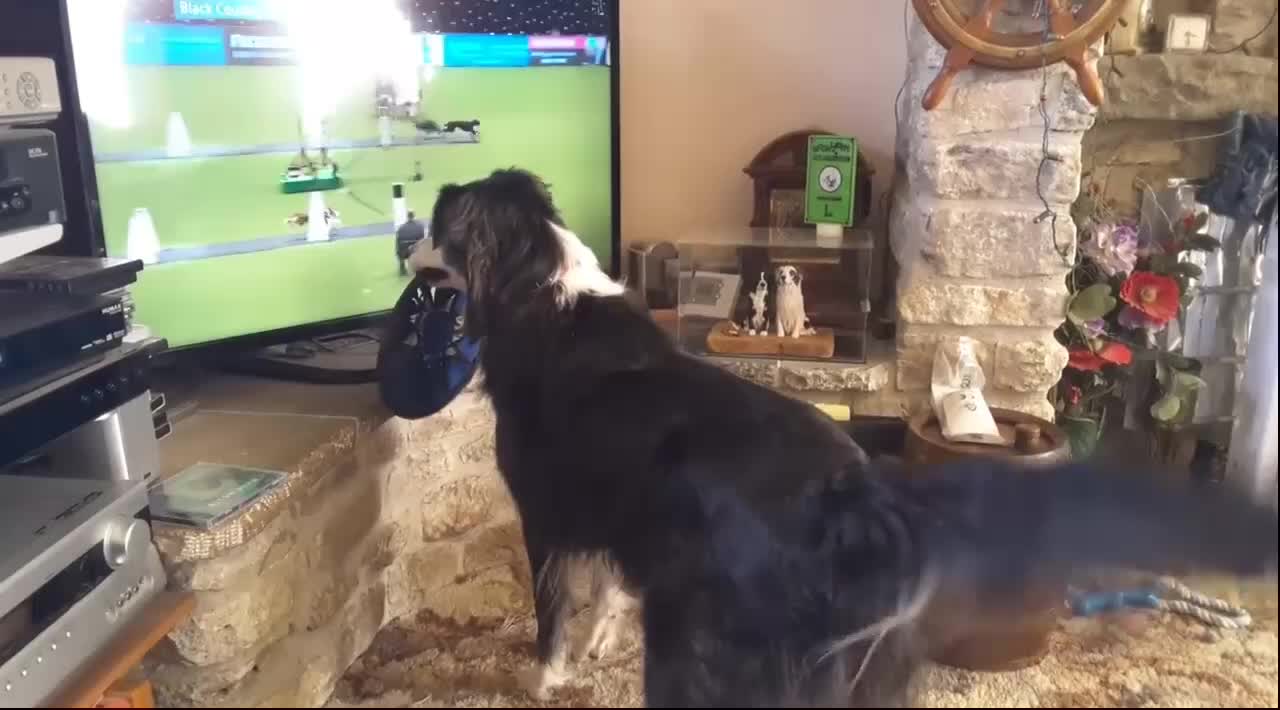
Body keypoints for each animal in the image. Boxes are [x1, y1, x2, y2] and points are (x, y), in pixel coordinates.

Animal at [412, 168, 1280, 706]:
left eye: (440, 222)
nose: (407, 239)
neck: (536, 284)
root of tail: (859, 495)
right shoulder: (615, 512)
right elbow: (608, 589)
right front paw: (596, 644)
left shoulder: (545, 509)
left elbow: (552, 610)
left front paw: (545, 679)